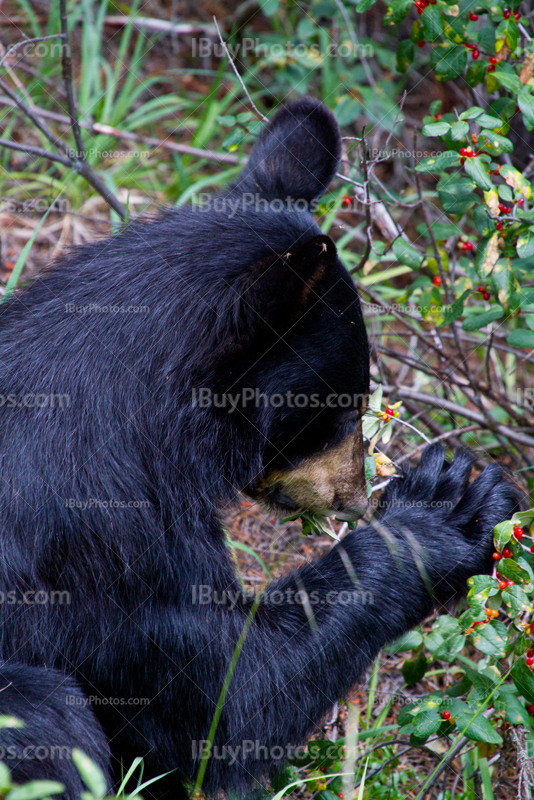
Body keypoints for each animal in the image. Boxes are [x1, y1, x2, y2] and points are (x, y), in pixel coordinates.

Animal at [0, 100, 524, 800]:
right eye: (340, 406)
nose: (354, 496)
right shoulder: (102, 537)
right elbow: (226, 695)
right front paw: (446, 509)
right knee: (49, 711)